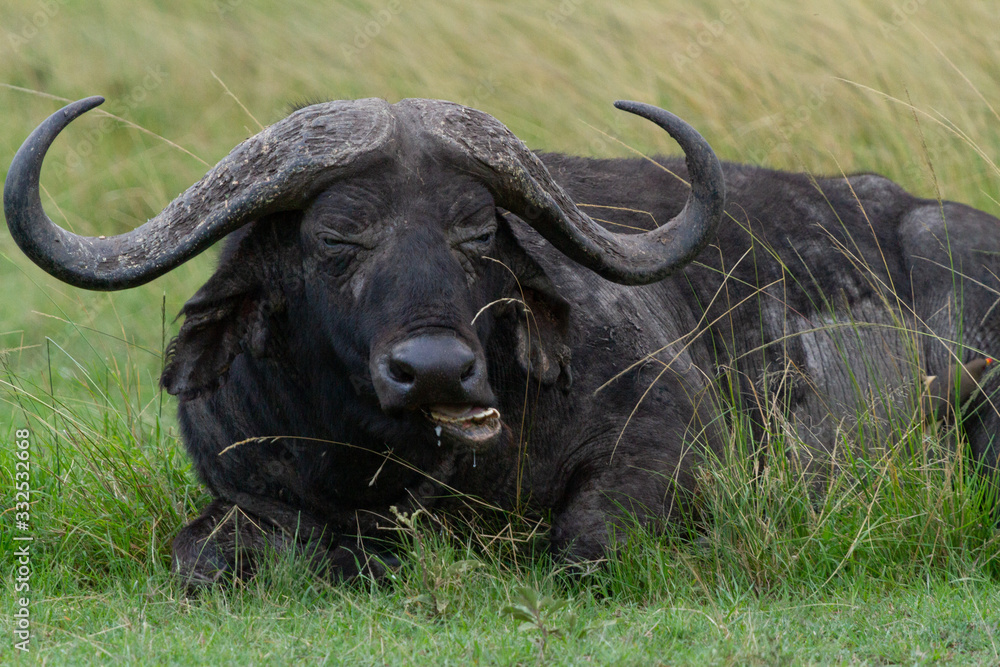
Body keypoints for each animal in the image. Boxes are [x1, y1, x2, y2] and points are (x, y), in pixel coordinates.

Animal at [5, 96, 999, 585]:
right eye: (337, 237)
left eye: (477, 231)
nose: (435, 369)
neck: (401, 463)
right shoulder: (241, 484)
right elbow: (201, 557)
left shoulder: (670, 445)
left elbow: (591, 548)